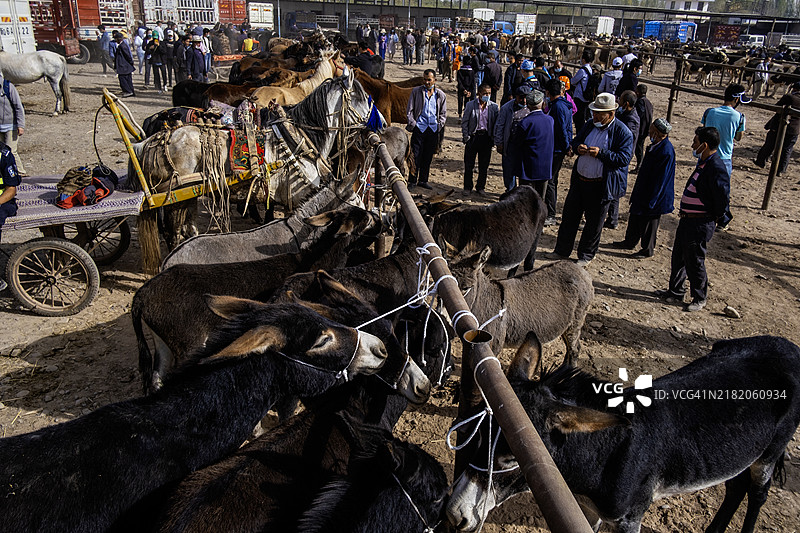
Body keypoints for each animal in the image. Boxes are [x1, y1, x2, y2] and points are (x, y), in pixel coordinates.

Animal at [444, 334, 800, 532]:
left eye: (509, 459)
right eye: (475, 437)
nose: (454, 515)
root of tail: (787, 346)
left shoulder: (629, 518)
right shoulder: (586, 509)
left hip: (770, 451)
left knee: (757, 493)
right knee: (735, 486)